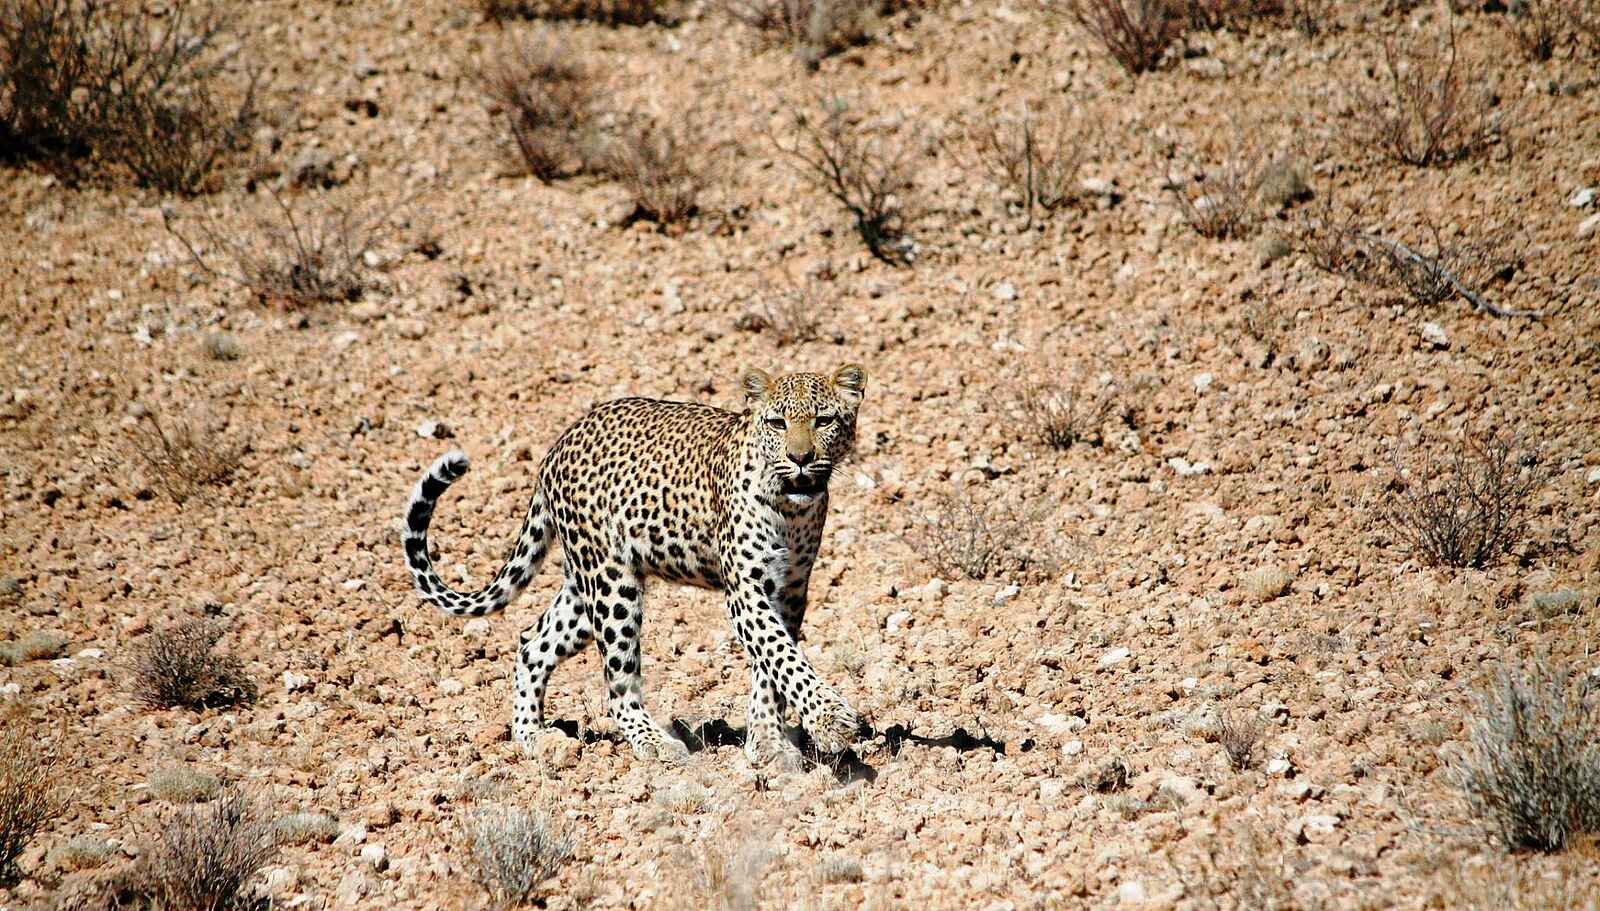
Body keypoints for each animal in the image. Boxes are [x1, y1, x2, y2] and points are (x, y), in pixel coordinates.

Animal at [400, 365, 868, 768]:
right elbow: (781, 655)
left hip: (585, 587)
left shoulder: (789, 591)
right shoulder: (746, 592)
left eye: (824, 420)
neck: (792, 511)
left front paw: (768, 741)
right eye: (777, 423)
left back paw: (532, 736)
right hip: (611, 586)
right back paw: (653, 742)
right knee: (618, 683)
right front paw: (830, 720)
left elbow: (771, 669)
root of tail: (558, 445)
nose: (801, 457)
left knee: (533, 641)